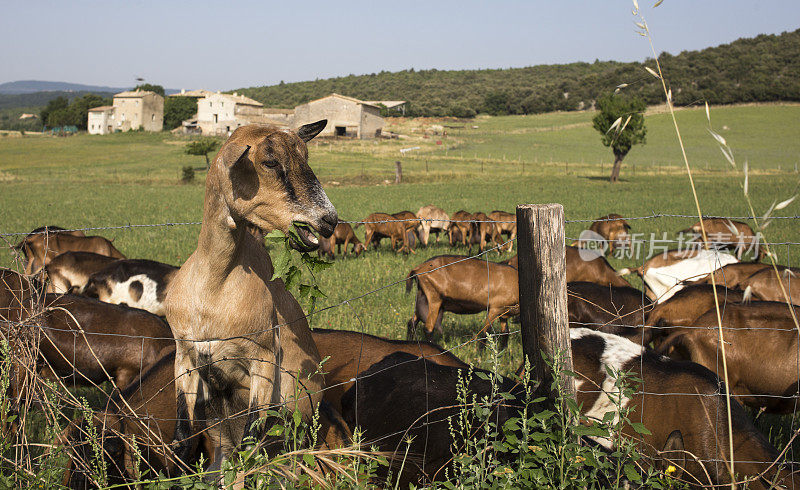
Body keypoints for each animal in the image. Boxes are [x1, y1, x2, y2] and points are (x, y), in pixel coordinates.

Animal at [162, 121, 338, 468]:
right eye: (269, 162)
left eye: (305, 156)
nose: (328, 220)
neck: (213, 288)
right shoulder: (185, 354)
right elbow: (182, 440)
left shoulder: (264, 356)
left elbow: (250, 446)